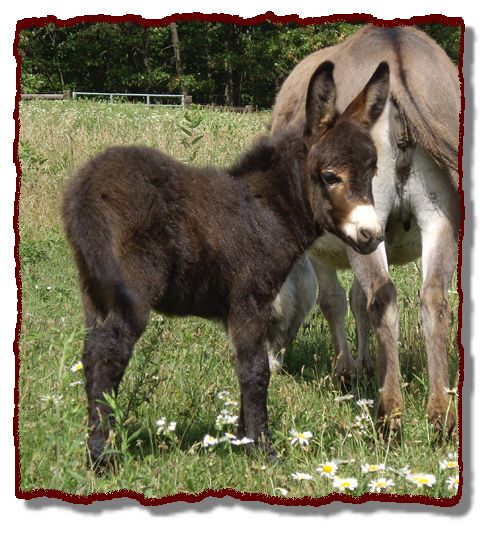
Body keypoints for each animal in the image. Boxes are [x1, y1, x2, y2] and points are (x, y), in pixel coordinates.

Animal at [62, 60, 390, 465]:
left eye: (372, 174)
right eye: (331, 176)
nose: (372, 235)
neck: (269, 210)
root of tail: (84, 187)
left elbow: (243, 367)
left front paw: (240, 439)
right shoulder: (249, 300)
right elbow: (256, 371)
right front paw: (264, 450)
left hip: (94, 290)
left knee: (92, 353)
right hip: (131, 290)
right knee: (109, 355)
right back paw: (102, 456)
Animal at [269, 25, 461, 435]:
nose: (273, 366)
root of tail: (395, 43)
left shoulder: (327, 247)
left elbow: (334, 301)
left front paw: (345, 370)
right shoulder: (368, 234)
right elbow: (356, 300)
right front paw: (363, 365)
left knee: (383, 296)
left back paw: (390, 413)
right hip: (437, 217)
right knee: (432, 298)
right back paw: (439, 413)